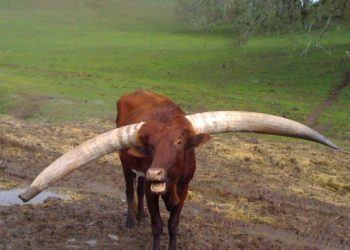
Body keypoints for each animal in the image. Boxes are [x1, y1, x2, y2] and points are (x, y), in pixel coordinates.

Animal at [19, 90, 340, 250]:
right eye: (149, 145)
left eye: (179, 142)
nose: (156, 174)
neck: (169, 184)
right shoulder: (153, 189)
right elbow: (158, 225)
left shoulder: (184, 190)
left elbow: (173, 224)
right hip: (126, 167)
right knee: (130, 190)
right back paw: (131, 220)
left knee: (138, 189)